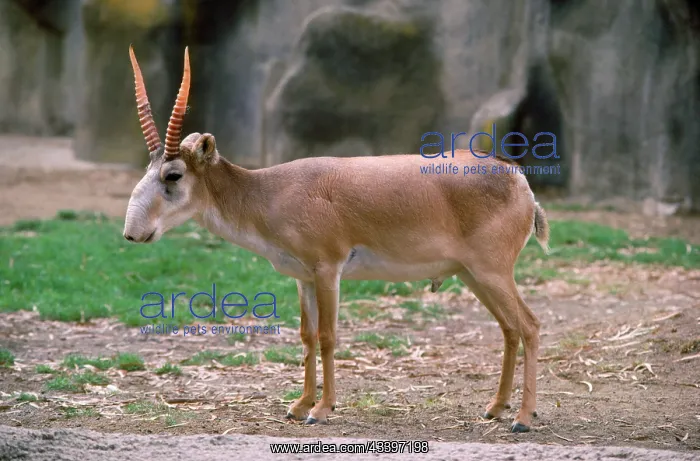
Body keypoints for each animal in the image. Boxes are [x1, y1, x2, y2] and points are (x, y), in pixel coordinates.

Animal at [123, 46, 551, 433]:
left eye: (173, 174)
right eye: (148, 168)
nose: (132, 232)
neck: (269, 191)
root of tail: (520, 182)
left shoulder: (328, 269)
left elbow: (328, 336)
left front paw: (322, 409)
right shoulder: (304, 278)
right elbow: (307, 336)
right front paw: (299, 405)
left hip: (492, 272)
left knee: (529, 325)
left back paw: (523, 418)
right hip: (472, 275)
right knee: (510, 328)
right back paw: (495, 408)